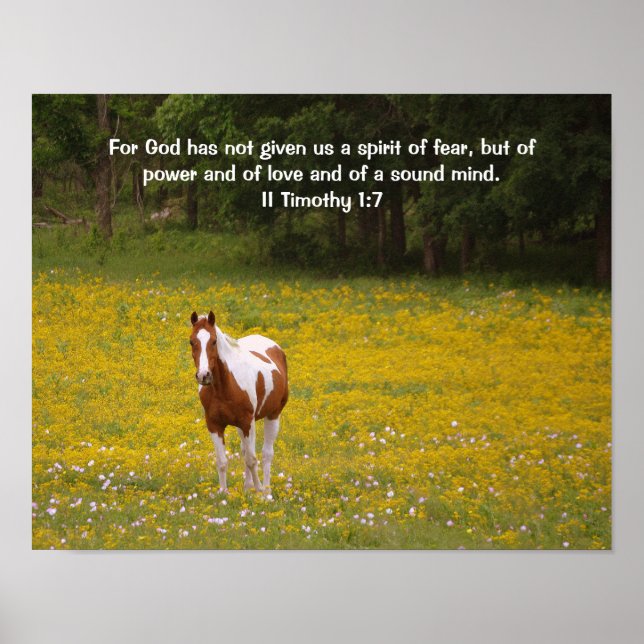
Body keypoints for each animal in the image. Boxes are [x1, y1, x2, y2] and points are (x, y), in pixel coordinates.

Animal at [189, 311, 288, 494]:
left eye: (214, 341)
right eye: (192, 341)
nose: (204, 375)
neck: (224, 387)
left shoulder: (247, 422)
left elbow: (252, 459)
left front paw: (259, 491)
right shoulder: (214, 424)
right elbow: (222, 461)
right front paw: (223, 493)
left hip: (272, 415)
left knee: (266, 454)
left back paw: (266, 491)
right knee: (245, 451)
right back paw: (248, 488)